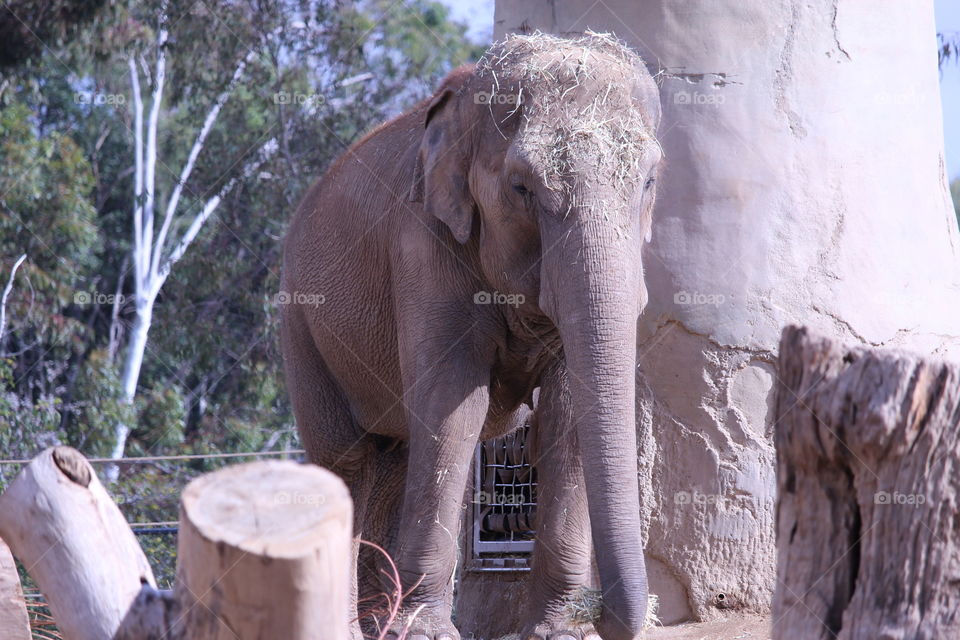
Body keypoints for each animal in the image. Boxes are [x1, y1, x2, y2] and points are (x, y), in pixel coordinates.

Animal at [280, 31, 662, 640]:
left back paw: (377, 623)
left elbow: (566, 411)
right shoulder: (423, 245)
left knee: (392, 462)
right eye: (522, 187)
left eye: (648, 181)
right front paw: (425, 633)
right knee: (347, 461)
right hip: (301, 325)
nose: (607, 616)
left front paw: (557, 631)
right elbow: (455, 408)